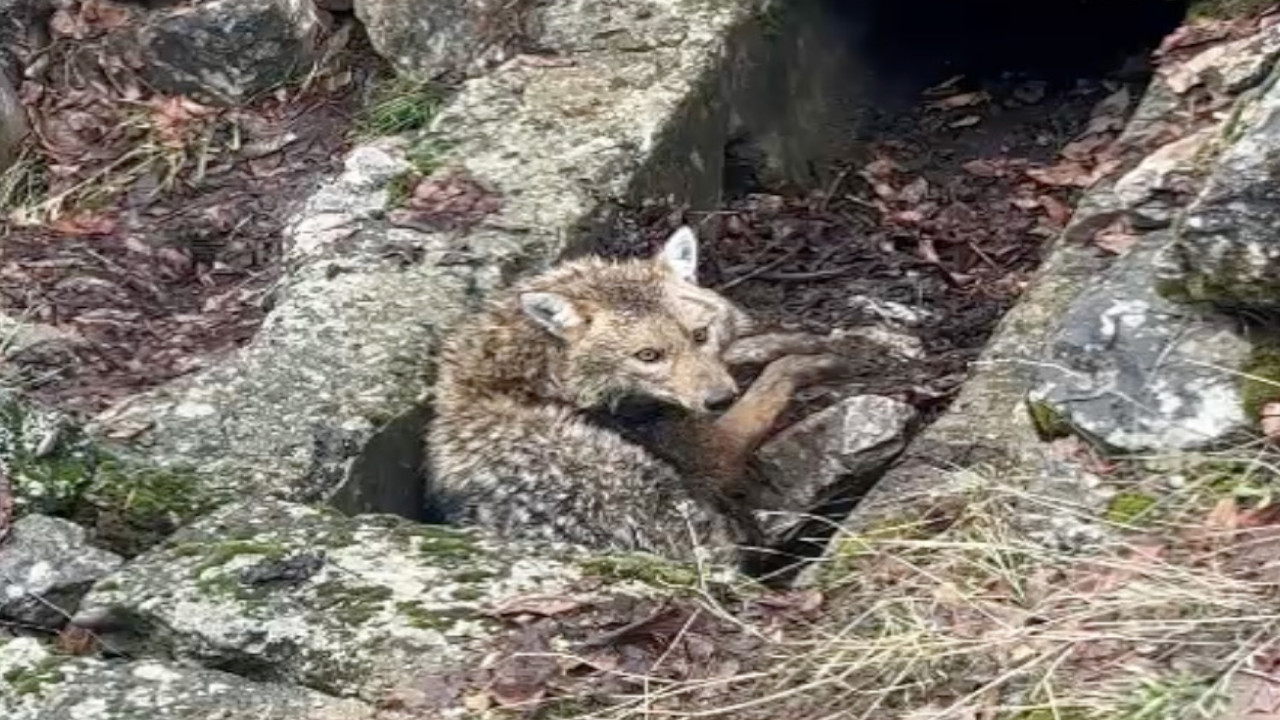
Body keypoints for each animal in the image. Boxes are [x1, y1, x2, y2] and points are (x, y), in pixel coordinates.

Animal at [424, 226, 855, 573]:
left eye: (700, 335)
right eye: (648, 356)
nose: (718, 399)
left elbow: (744, 354)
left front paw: (783, 341)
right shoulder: (716, 451)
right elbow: (771, 383)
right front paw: (807, 361)